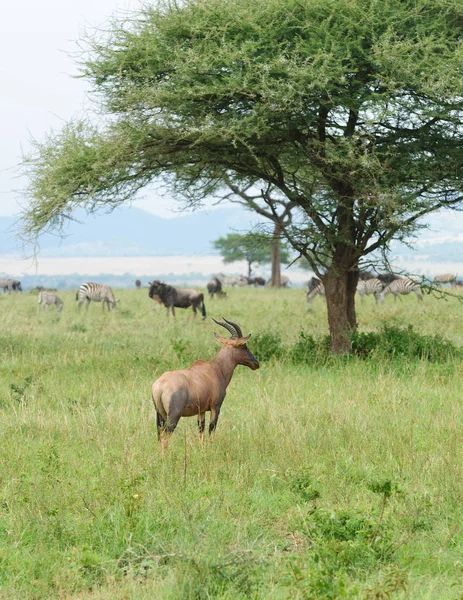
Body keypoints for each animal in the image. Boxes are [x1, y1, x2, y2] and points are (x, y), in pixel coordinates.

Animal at [152, 318, 260, 450]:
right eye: (243, 345)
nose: (256, 363)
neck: (215, 368)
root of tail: (160, 385)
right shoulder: (215, 407)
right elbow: (211, 429)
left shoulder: (201, 411)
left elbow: (201, 432)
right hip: (174, 416)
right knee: (164, 436)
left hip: (160, 415)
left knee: (159, 435)